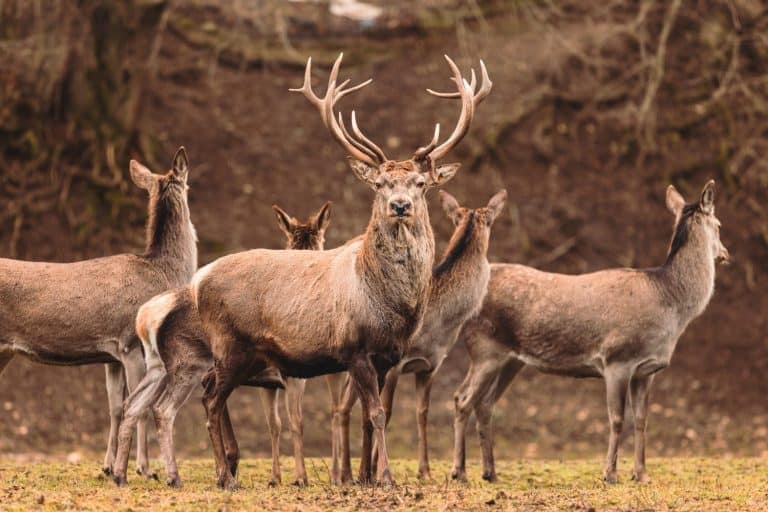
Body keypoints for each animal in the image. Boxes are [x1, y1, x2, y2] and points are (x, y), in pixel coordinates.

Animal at [0, 147, 197, 478]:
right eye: (189, 186)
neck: (163, 272)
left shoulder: (110, 356)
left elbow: (115, 407)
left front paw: (107, 465)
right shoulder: (131, 344)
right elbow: (139, 406)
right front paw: (142, 468)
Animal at [111, 202, 331, 487]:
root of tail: (145, 316)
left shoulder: (268, 383)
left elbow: (274, 424)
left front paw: (272, 477)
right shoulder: (289, 375)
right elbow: (295, 422)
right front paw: (299, 478)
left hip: (160, 368)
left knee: (133, 405)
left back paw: (121, 474)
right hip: (189, 366)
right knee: (163, 409)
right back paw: (174, 476)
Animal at [332, 189, 507, 484]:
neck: (436, 328)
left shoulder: (430, 366)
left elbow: (422, 413)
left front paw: (424, 471)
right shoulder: (394, 365)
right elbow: (387, 411)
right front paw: (379, 471)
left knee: (345, 406)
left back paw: (348, 472)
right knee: (345, 407)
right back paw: (347, 474)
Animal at [451, 180, 729, 484]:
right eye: (719, 224)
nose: (725, 254)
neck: (670, 303)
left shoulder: (647, 370)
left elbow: (642, 420)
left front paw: (641, 474)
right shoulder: (617, 359)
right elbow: (616, 419)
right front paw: (610, 474)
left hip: (510, 360)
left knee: (485, 404)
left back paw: (490, 472)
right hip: (484, 348)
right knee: (462, 399)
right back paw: (459, 472)